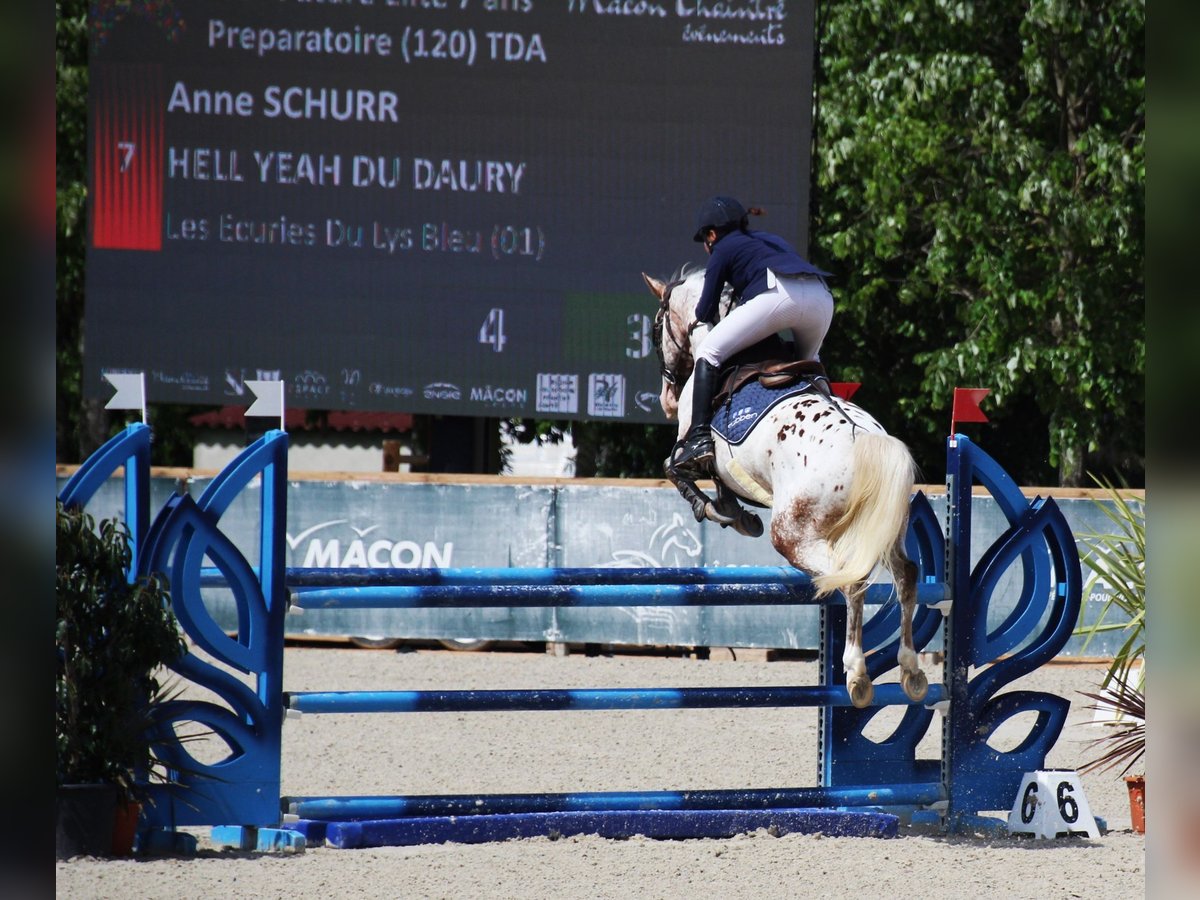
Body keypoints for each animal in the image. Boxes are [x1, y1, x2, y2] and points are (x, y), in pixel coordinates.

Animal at [638, 267, 926, 710]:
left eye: (655, 330)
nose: (667, 399)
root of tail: (866, 441)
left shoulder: (691, 441)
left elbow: (676, 467)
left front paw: (716, 510)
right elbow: (719, 483)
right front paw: (736, 514)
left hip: (793, 536)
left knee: (851, 579)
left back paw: (857, 674)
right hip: (885, 530)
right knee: (906, 576)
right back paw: (911, 670)